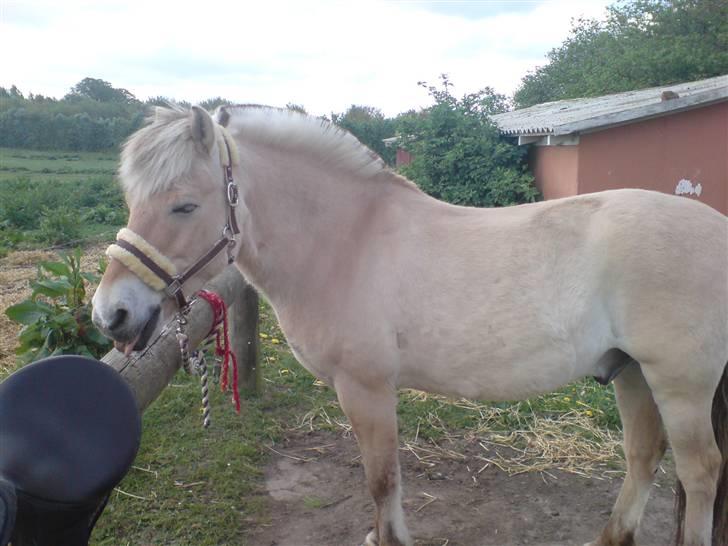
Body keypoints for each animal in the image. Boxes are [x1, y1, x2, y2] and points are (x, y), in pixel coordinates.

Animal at [92, 104, 728, 540]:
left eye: (184, 204)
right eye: (133, 199)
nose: (111, 313)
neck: (346, 243)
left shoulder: (366, 389)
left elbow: (381, 479)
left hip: (678, 384)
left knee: (700, 472)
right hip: (632, 373)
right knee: (644, 456)